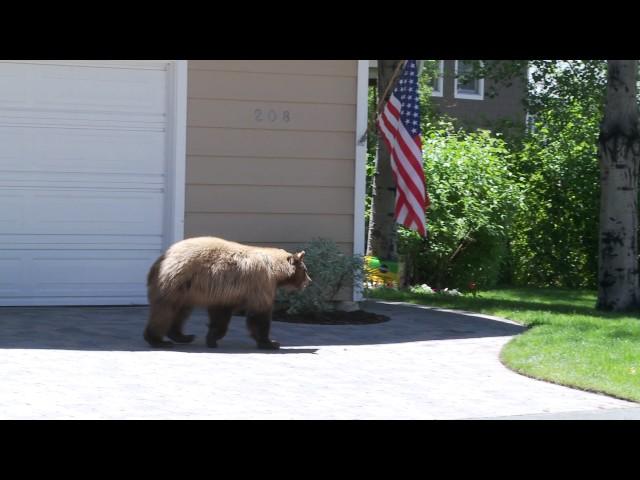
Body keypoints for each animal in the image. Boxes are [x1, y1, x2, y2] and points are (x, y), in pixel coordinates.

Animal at [143, 236, 312, 348]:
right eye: (305, 270)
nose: (309, 281)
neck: (275, 270)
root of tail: (159, 261)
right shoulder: (261, 284)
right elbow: (259, 314)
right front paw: (270, 342)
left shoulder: (224, 293)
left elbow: (220, 314)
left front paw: (212, 338)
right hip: (176, 282)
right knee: (165, 311)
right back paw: (157, 340)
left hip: (185, 290)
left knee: (180, 312)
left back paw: (183, 336)